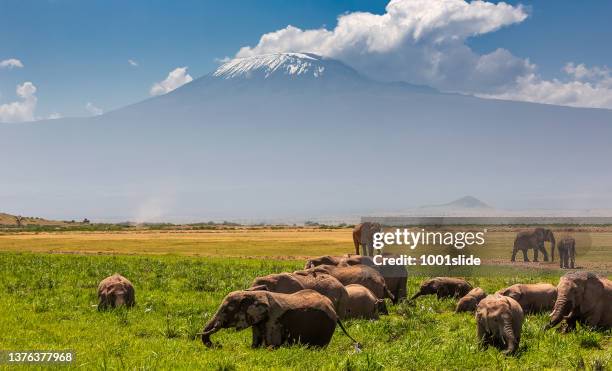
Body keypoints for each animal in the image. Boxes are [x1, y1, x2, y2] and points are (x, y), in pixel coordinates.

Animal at [200, 290, 358, 348]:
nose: (219, 345)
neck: (253, 294)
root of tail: (332, 307)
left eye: (227, 310)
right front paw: (254, 348)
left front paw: (269, 348)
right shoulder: (258, 319)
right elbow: (256, 342)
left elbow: (272, 345)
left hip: (326, 325)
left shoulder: (273, 320)